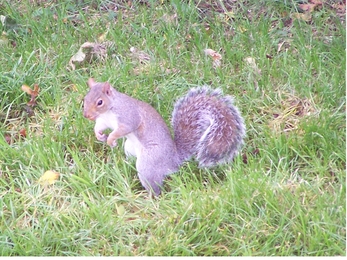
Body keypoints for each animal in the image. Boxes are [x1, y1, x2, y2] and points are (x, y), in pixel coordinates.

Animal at [83, 78, 246, 196]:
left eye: (99, 102)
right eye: (85, 99)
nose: (86, 115)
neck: (109, 110)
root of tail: (174, 160)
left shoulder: (128, 116)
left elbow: (123, 129)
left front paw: (111, 139)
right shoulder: (104, 120)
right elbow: (99, 126)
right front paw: (99, 135)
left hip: (149, 162)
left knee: (154, 187)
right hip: (129, 148)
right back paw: (125, 165)